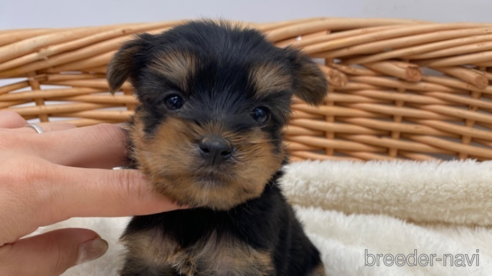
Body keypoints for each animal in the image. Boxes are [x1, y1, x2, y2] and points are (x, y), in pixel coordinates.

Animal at [109, 20, 328, 274]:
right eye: (173, 100)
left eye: (260, 113)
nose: (215, 147)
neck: (201, 212)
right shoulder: (146, 256)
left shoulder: (239, 262)